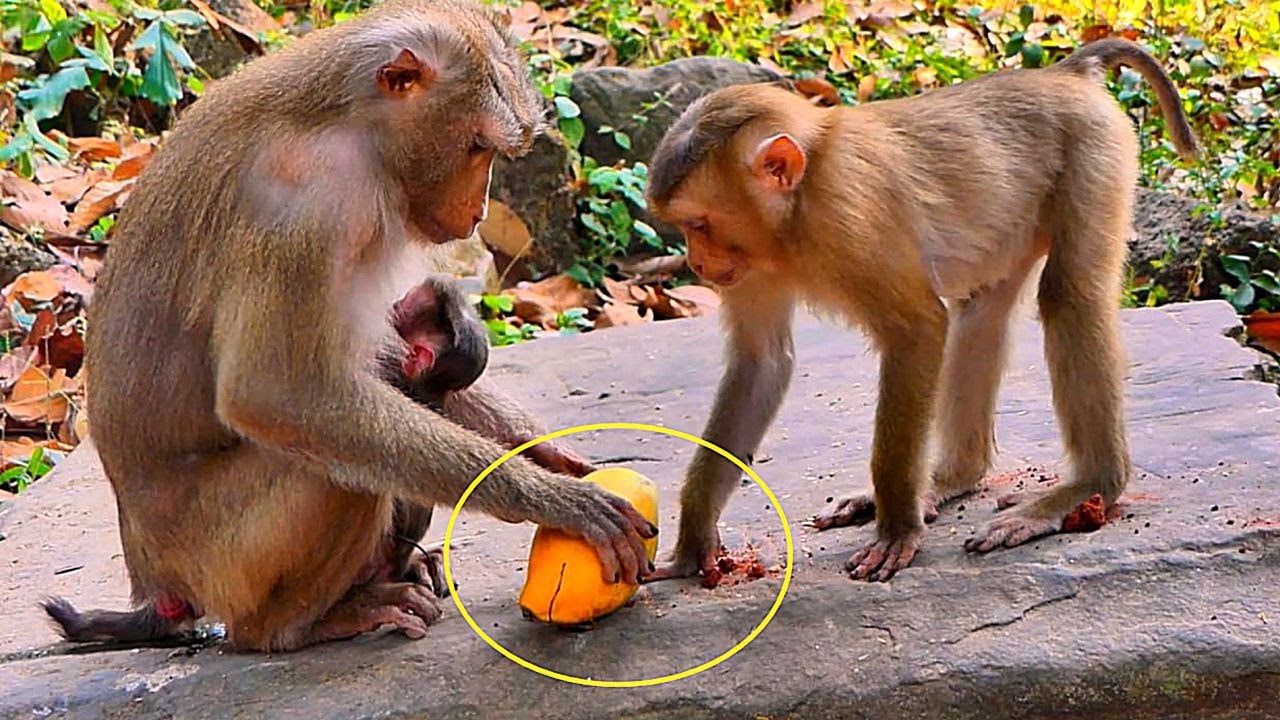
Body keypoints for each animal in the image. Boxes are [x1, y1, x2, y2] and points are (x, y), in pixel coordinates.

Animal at [42, 0, 655, 653]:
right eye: (476, 147)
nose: (480, 210)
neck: (349, 128)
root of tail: (152, 581)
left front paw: (553, 456)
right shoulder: (305, 208)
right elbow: (277, 394)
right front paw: (556, 499)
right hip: (217, 560)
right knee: (332, 467)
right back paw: (289, 627)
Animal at [641, 38, 1197, 584]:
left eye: (699, 223)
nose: (696, 262)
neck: (796, 211)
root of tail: (1064, 73)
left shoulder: (849, 215)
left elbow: (919, 329)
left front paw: (897, 531)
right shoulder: (753, 266)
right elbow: (763, 363)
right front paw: (693, 543)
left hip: (1093, 149)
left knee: (1069, 294)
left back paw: (1086, 488)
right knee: (981, 312)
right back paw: (951, 478)